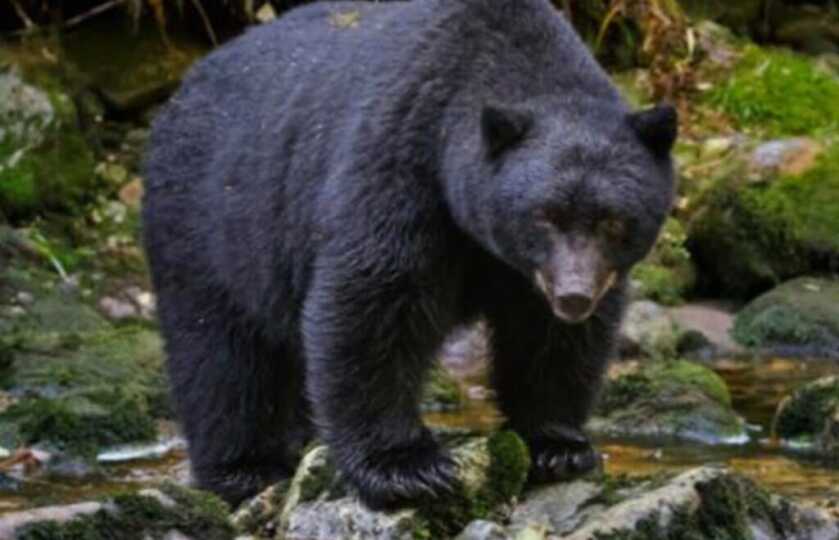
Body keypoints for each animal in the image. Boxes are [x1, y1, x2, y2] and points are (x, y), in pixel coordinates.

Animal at [142, 0, 677, 510]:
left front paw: (557, 445)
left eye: (613, 221)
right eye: (544, 215)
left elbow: (550, 337)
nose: (573, 296)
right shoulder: (401, 161)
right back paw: (246, 468)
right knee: (221, 354)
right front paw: (406, 467)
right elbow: (373, 302)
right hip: (209, 221)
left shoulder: (534, 274)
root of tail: (183, 89)